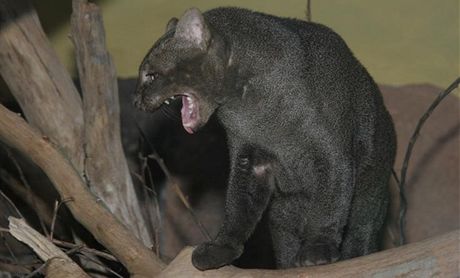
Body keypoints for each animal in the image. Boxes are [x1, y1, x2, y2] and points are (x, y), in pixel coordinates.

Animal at [133, 7, 396, 270]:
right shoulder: (249, 159)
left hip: (368, 203)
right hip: (282, 217)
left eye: (151, 75)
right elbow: (237, 207)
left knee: (360, 237)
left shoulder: (332, 154)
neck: (248, 105)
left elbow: (328, 204)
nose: (136, 100)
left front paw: (318, 248)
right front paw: (221, 248)